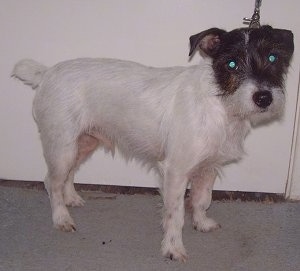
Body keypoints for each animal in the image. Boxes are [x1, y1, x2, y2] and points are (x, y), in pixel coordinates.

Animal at [11, 25, 292, 262]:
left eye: (273, 59)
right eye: (232, 64)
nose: (264, 98)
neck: (220, 104)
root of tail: (46, 73)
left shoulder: (208, 168)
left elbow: (202, 200)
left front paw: (201, 223)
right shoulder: (176, 172)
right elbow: (175, 214)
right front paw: (173, 248)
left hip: (83, 143)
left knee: (67, 175)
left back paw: (71, 198)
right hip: (63, 148)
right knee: (51, 181)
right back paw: (61, 217)